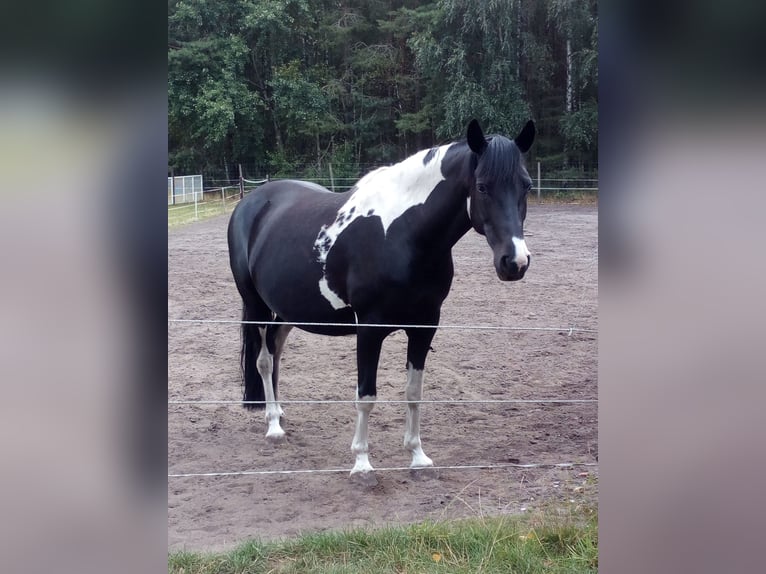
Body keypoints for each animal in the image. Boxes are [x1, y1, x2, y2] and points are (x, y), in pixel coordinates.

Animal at [227, 118, 535, 484]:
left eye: (527, 186)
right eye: (483, 187)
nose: (515, 262)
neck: (402, 234)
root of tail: (252, 202)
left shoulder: (425, 326)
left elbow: (414, 392)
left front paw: (418, 457)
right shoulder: (370, 330)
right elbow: (366, 396)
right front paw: (362, 464)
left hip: (289, 310)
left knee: (275, 350)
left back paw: (279, 412)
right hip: (256, 305)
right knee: (262, 359)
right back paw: (273, 424)